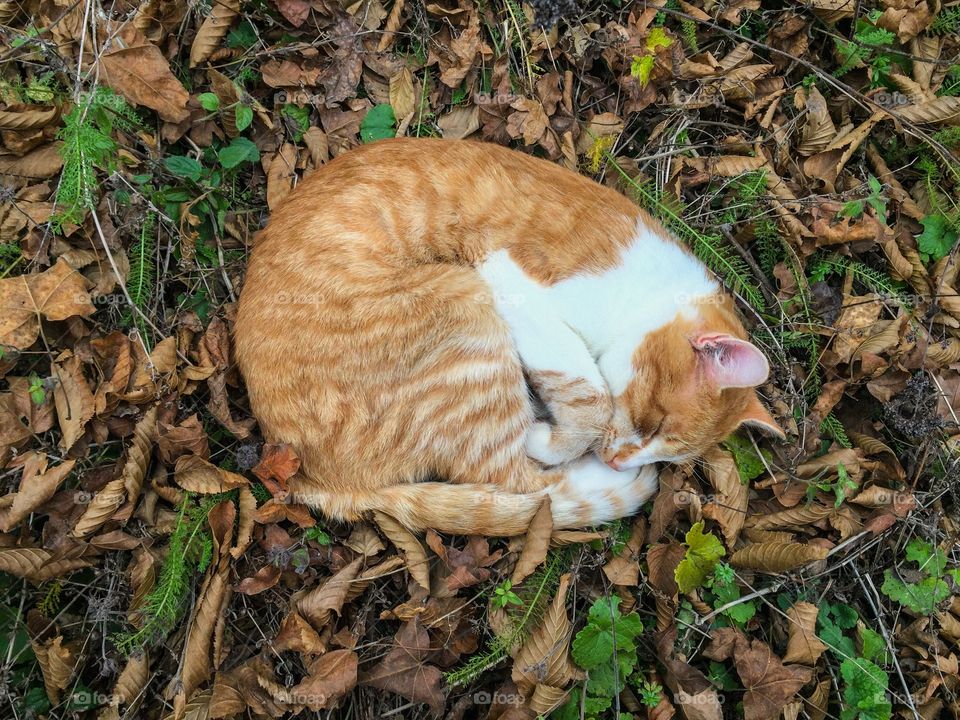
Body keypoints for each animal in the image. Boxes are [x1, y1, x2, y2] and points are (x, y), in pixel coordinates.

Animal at [232, 139, 780, 536]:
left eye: (670, 453)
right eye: (653, 421)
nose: (620, 460)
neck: (649, 293)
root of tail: (319, 482)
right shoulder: (511, 281)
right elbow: (591, 395)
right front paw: (561, 438)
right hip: (465, 308)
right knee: (521, 483)